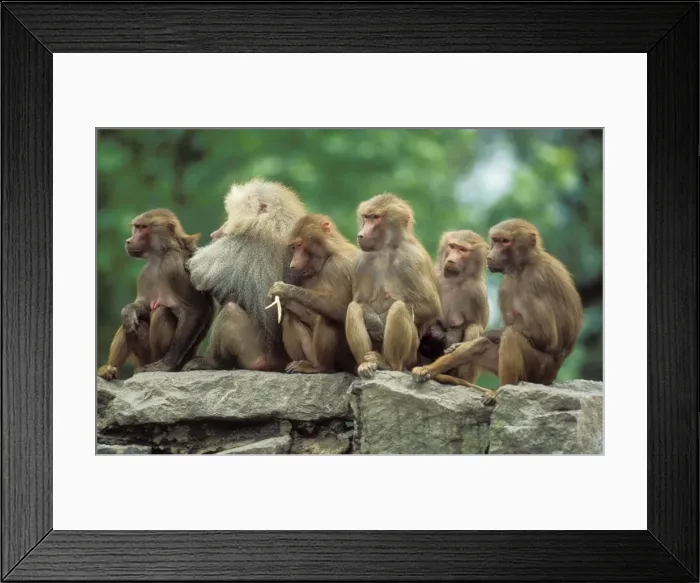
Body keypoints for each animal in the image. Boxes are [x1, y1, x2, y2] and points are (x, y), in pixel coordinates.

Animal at [97, 209, 215, 380]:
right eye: (136, 227)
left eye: (143, 227)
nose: (128, 241)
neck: (161, 255)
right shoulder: (146, 273)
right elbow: (142, 305)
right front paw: (128, 311)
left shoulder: (173, 266)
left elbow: (195, 310)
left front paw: (166, 365)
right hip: (143, 357)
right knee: (131, 325)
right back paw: (109, 369)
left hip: (156, 358)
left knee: (161, 311)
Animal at [182, 178, 307, 372]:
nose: (215, 233)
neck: (276, 220)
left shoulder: (239, 245)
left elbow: (196, 276)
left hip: (255, 354)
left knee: (230, 311)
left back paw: (211, 362)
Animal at [266, 214, 359, 374]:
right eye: (293, 247)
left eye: (299, 245)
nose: (292, 264)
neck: (328, 255)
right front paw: (285, 301)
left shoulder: (337, 266)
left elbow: (340, 308)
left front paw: (284, 290)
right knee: (290, 317)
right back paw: (305, 365)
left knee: (327, 317)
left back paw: (322, 368)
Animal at [344, 193, 442, 378]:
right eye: (366, 217)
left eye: (376, 217)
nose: (361, 235)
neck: (386, 248)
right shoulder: (361, 261)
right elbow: (359, 301)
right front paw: (375, 323)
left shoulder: (412, 259)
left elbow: (431, 307)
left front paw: (382, 321)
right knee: (353, 308)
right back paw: (366, 365)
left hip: (410, 354)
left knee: (400, 308)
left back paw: (388, 364)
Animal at [418, 230, 490, 384]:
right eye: (452, 246)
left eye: (463, 250)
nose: (451, 260)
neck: (454, 280)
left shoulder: (478, 291)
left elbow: (479, 328)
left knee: (474, 329)